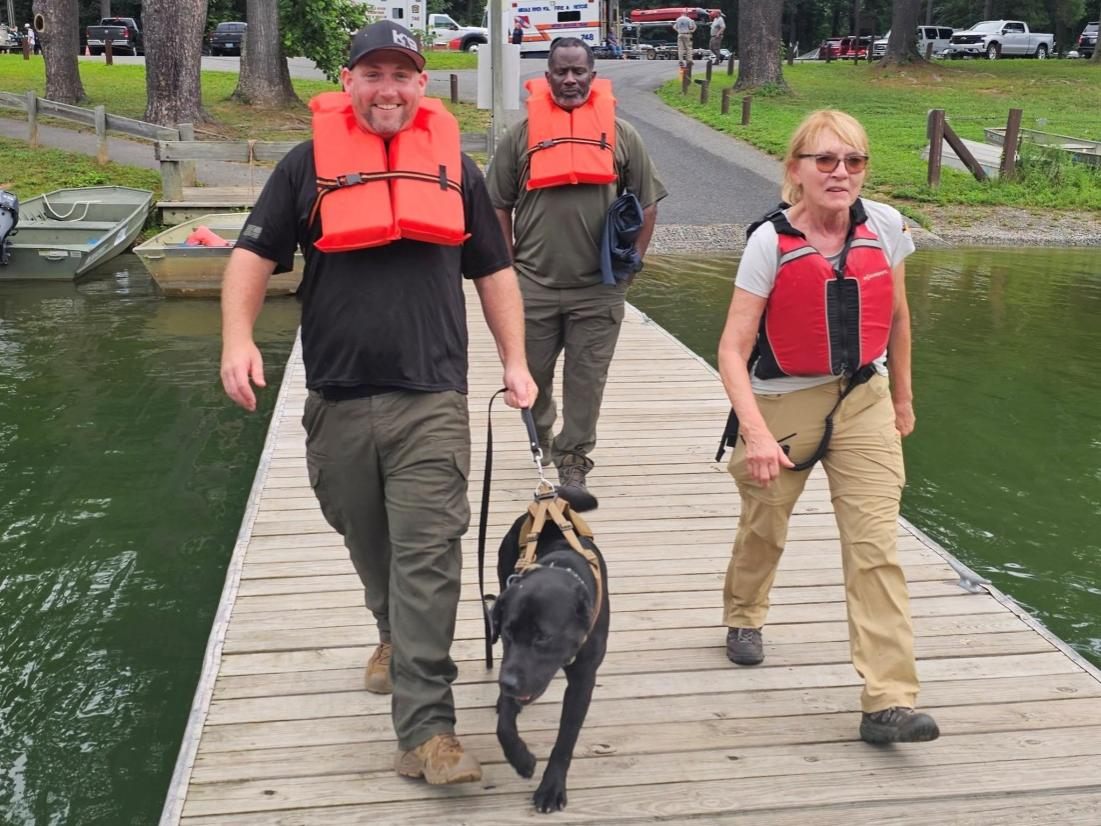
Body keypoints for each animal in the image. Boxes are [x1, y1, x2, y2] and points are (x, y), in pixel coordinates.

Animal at [491, 485, 609, 813]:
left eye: (543, 637)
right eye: (507, 632)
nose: (507, 683)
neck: (561, 567)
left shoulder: (583, 679)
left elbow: (566, 738)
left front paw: (551, 788)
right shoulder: (512, 662)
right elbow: (504, 725)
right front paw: (521, 759)